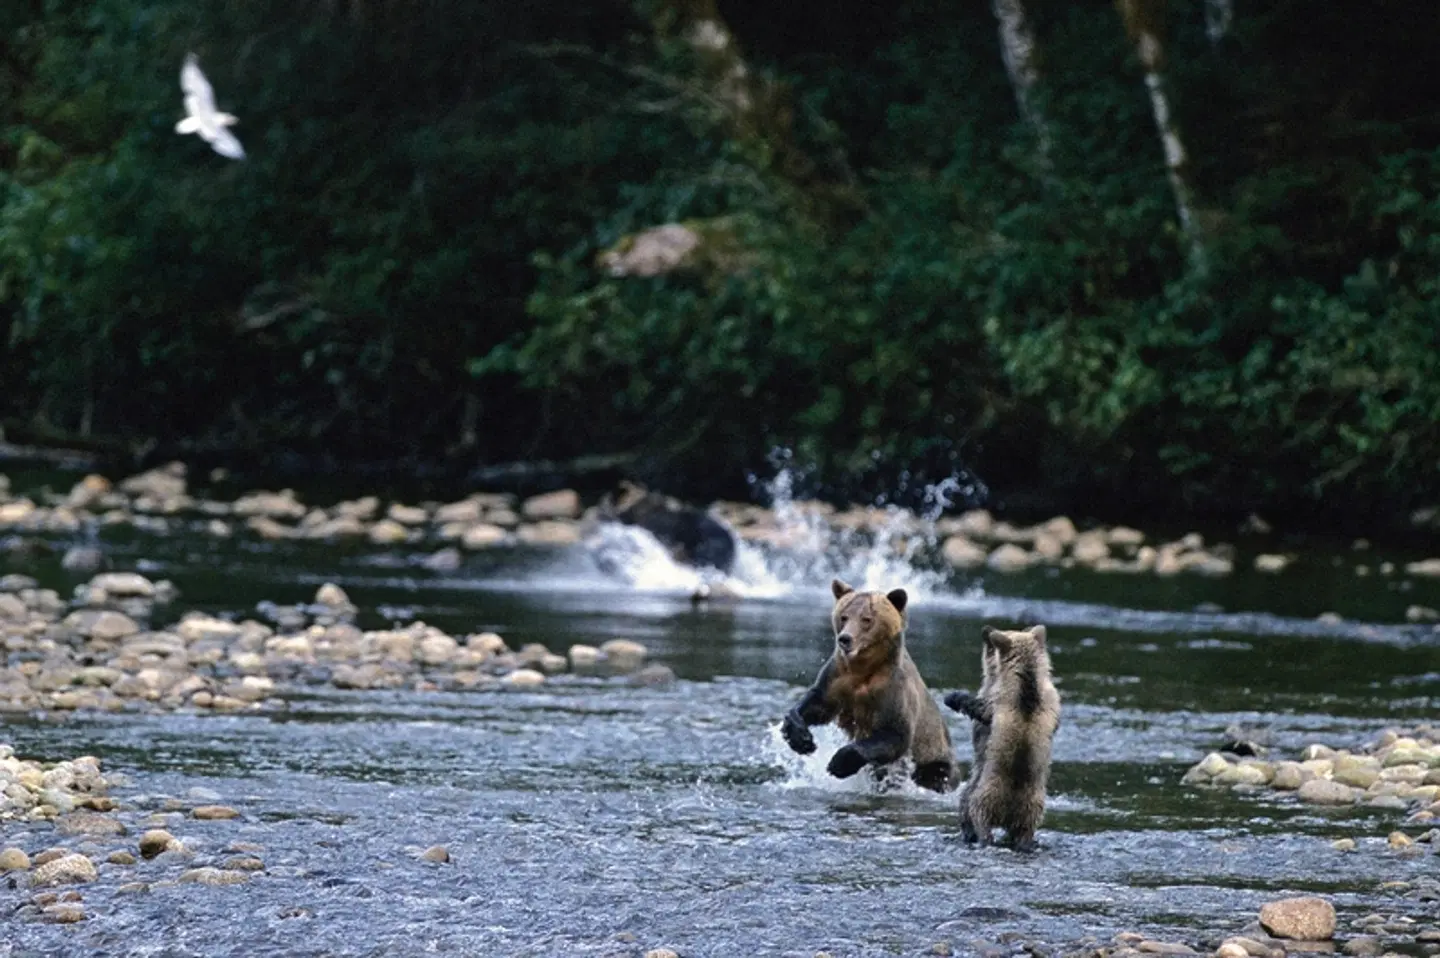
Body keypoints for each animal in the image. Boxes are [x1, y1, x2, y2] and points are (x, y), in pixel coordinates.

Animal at [780, 578, 960, 792]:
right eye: (844, 616)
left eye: (866, 619)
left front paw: (839, 762)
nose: (845, 639)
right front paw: (802, 738)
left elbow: (895, 734)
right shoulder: (837, 677)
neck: (863, 668)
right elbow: (817, 704)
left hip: (934, 760)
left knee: (934, 775)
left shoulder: (892, 688)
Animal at [943, 623, 1061, 852]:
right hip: (1033, 806)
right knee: (1025, 829)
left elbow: (980, 710)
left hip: (983, 793)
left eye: (990, 643)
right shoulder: (1052, 702)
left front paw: (954, 697)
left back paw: (976, 836)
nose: (986, 629)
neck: (1027, 677)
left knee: (972, 812)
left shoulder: (996, 700)